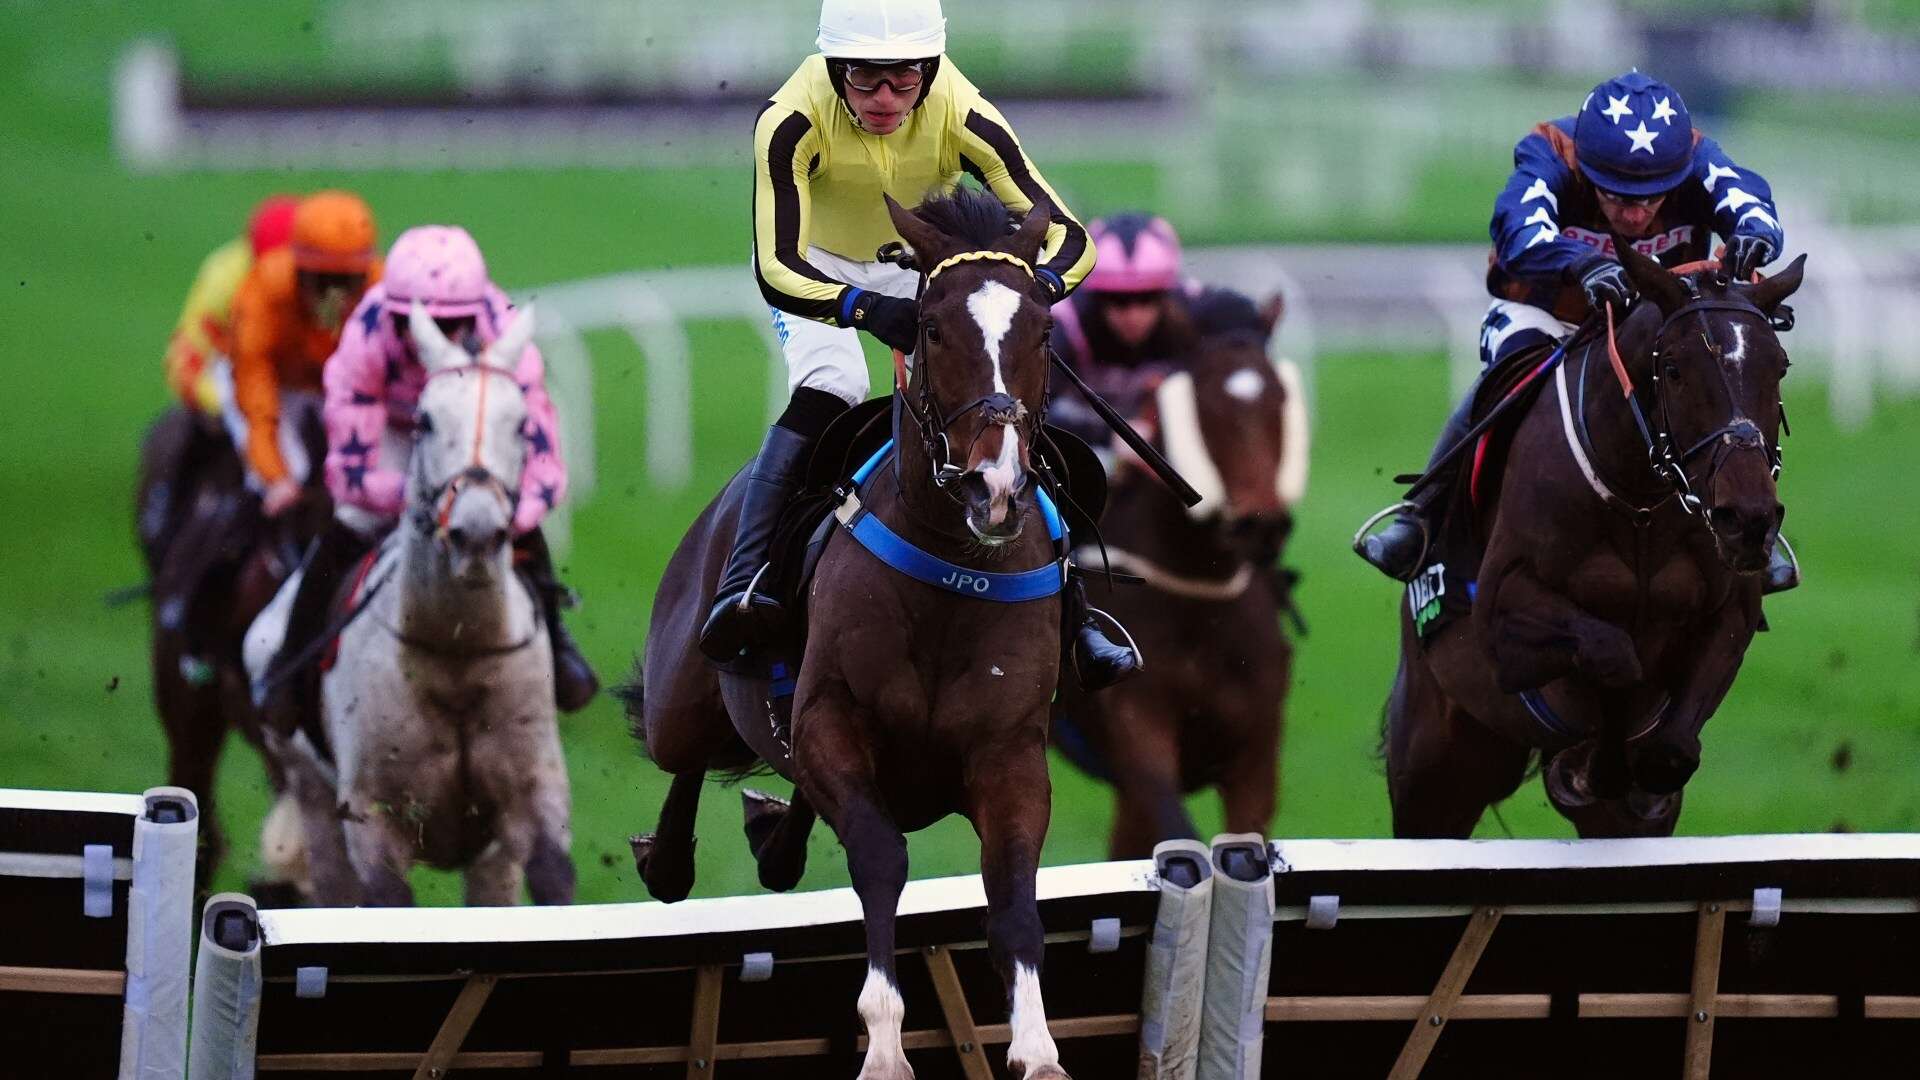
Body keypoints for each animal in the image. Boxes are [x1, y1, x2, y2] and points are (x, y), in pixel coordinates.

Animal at [266, 307, 572, 903]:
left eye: (522, 424)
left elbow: (553, 875)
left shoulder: (535, 795)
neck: (456, 653)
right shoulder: (371, 821)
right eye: (425, 421)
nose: (476, 533)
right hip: (310, 792)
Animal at [629, 191, 1082, 1076]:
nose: (996, 486)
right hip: (683, 699)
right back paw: (666, 857)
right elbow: (881, 857)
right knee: (683, 762)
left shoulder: (1011, 752)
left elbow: (1013, 892)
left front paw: (1037, 1046)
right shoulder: (834, 718)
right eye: (931, 328)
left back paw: (771, 834)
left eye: (1044, 330)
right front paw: (884, 1041)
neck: (952, 573)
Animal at [1052, 288, 1305, 857]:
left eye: (1280, 398)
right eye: (1206, 405)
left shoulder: (1257, 753)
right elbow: (1178, 835)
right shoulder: (1136, 731)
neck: (1198, 599)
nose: (1260, 524)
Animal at [1382, 242, 1797, 834]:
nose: (1748, 518)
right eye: (1674, 368)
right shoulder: (1503, 615)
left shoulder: (1729, 615)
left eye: (1779, 365)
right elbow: (1612, 652)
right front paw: (1585, 767)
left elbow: (1670, 748)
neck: (1640, 506)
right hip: (1435, 770)